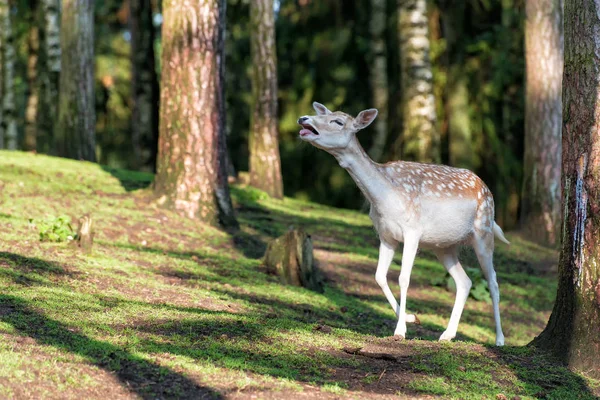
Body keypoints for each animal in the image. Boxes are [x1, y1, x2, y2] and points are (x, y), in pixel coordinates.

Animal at [298, 101, 508, 346]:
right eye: (326, 113)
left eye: (338, 121)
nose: (303, 118)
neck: (384, 198)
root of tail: (486, 188)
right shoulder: (386, 235)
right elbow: (379, 276)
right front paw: (410, 317)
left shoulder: (412, 231)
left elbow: (404, 278)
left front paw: (400, 331)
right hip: (444, 246)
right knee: (464, 281)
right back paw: (447, 334)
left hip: (484, 231)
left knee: (493, 282)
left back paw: (499, 339)